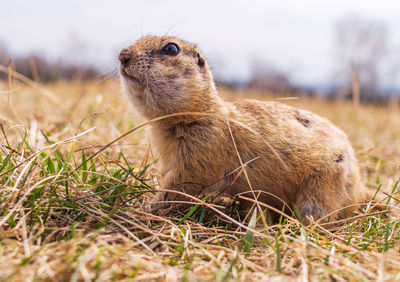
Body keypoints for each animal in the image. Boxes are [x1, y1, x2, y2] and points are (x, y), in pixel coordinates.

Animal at [117, 36, 370, 224]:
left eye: (171, 48)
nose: (122, 55)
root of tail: (360, 189)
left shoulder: (200, 154)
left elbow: (177, 186)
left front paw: (143, 208)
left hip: (322, 186)